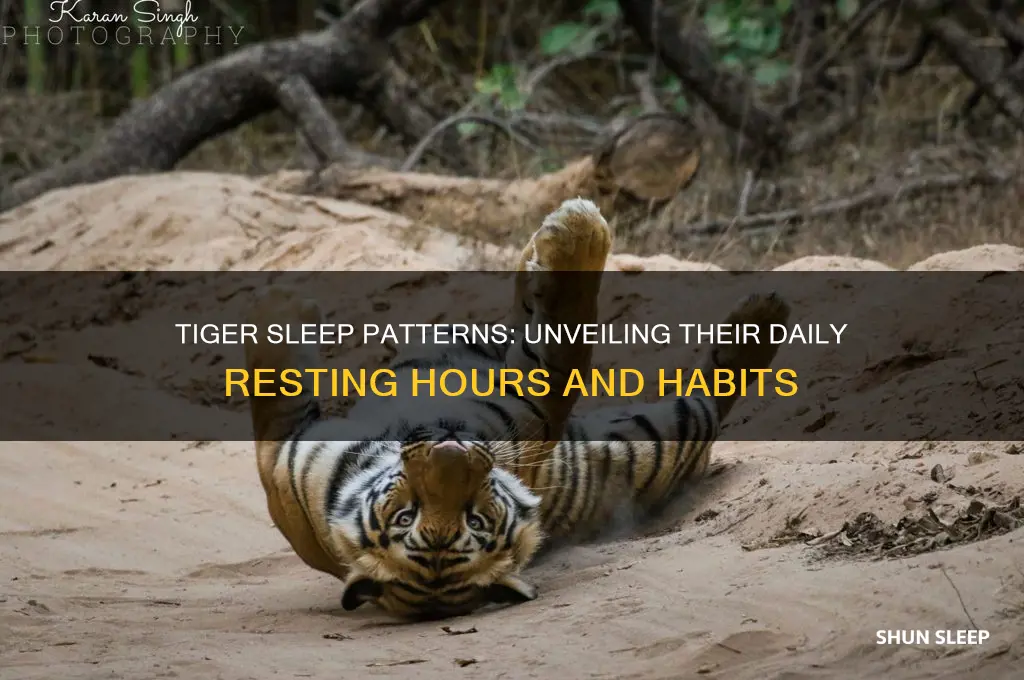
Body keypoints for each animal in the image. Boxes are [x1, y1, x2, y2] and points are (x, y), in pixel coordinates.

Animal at [242, 197, 790, 620]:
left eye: (477, 521)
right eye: (406, 518)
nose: (454, 454)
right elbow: (563, 346)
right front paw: (577, 232)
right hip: (661, 431)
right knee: (710, 391)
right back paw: (767, 314)